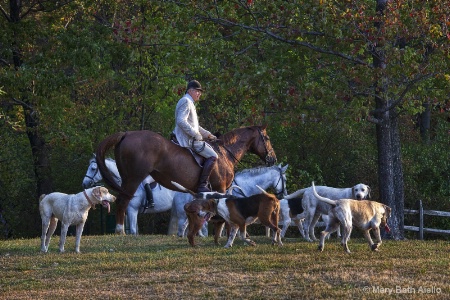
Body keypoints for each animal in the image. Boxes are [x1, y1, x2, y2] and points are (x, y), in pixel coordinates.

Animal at [96, 124, 276, 232]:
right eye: (267, 138)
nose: (272, 159)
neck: (225, 153)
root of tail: (127, 134)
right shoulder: (221, 187)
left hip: (127, 178)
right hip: (133, 178)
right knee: (122, 202)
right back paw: (120, 231)